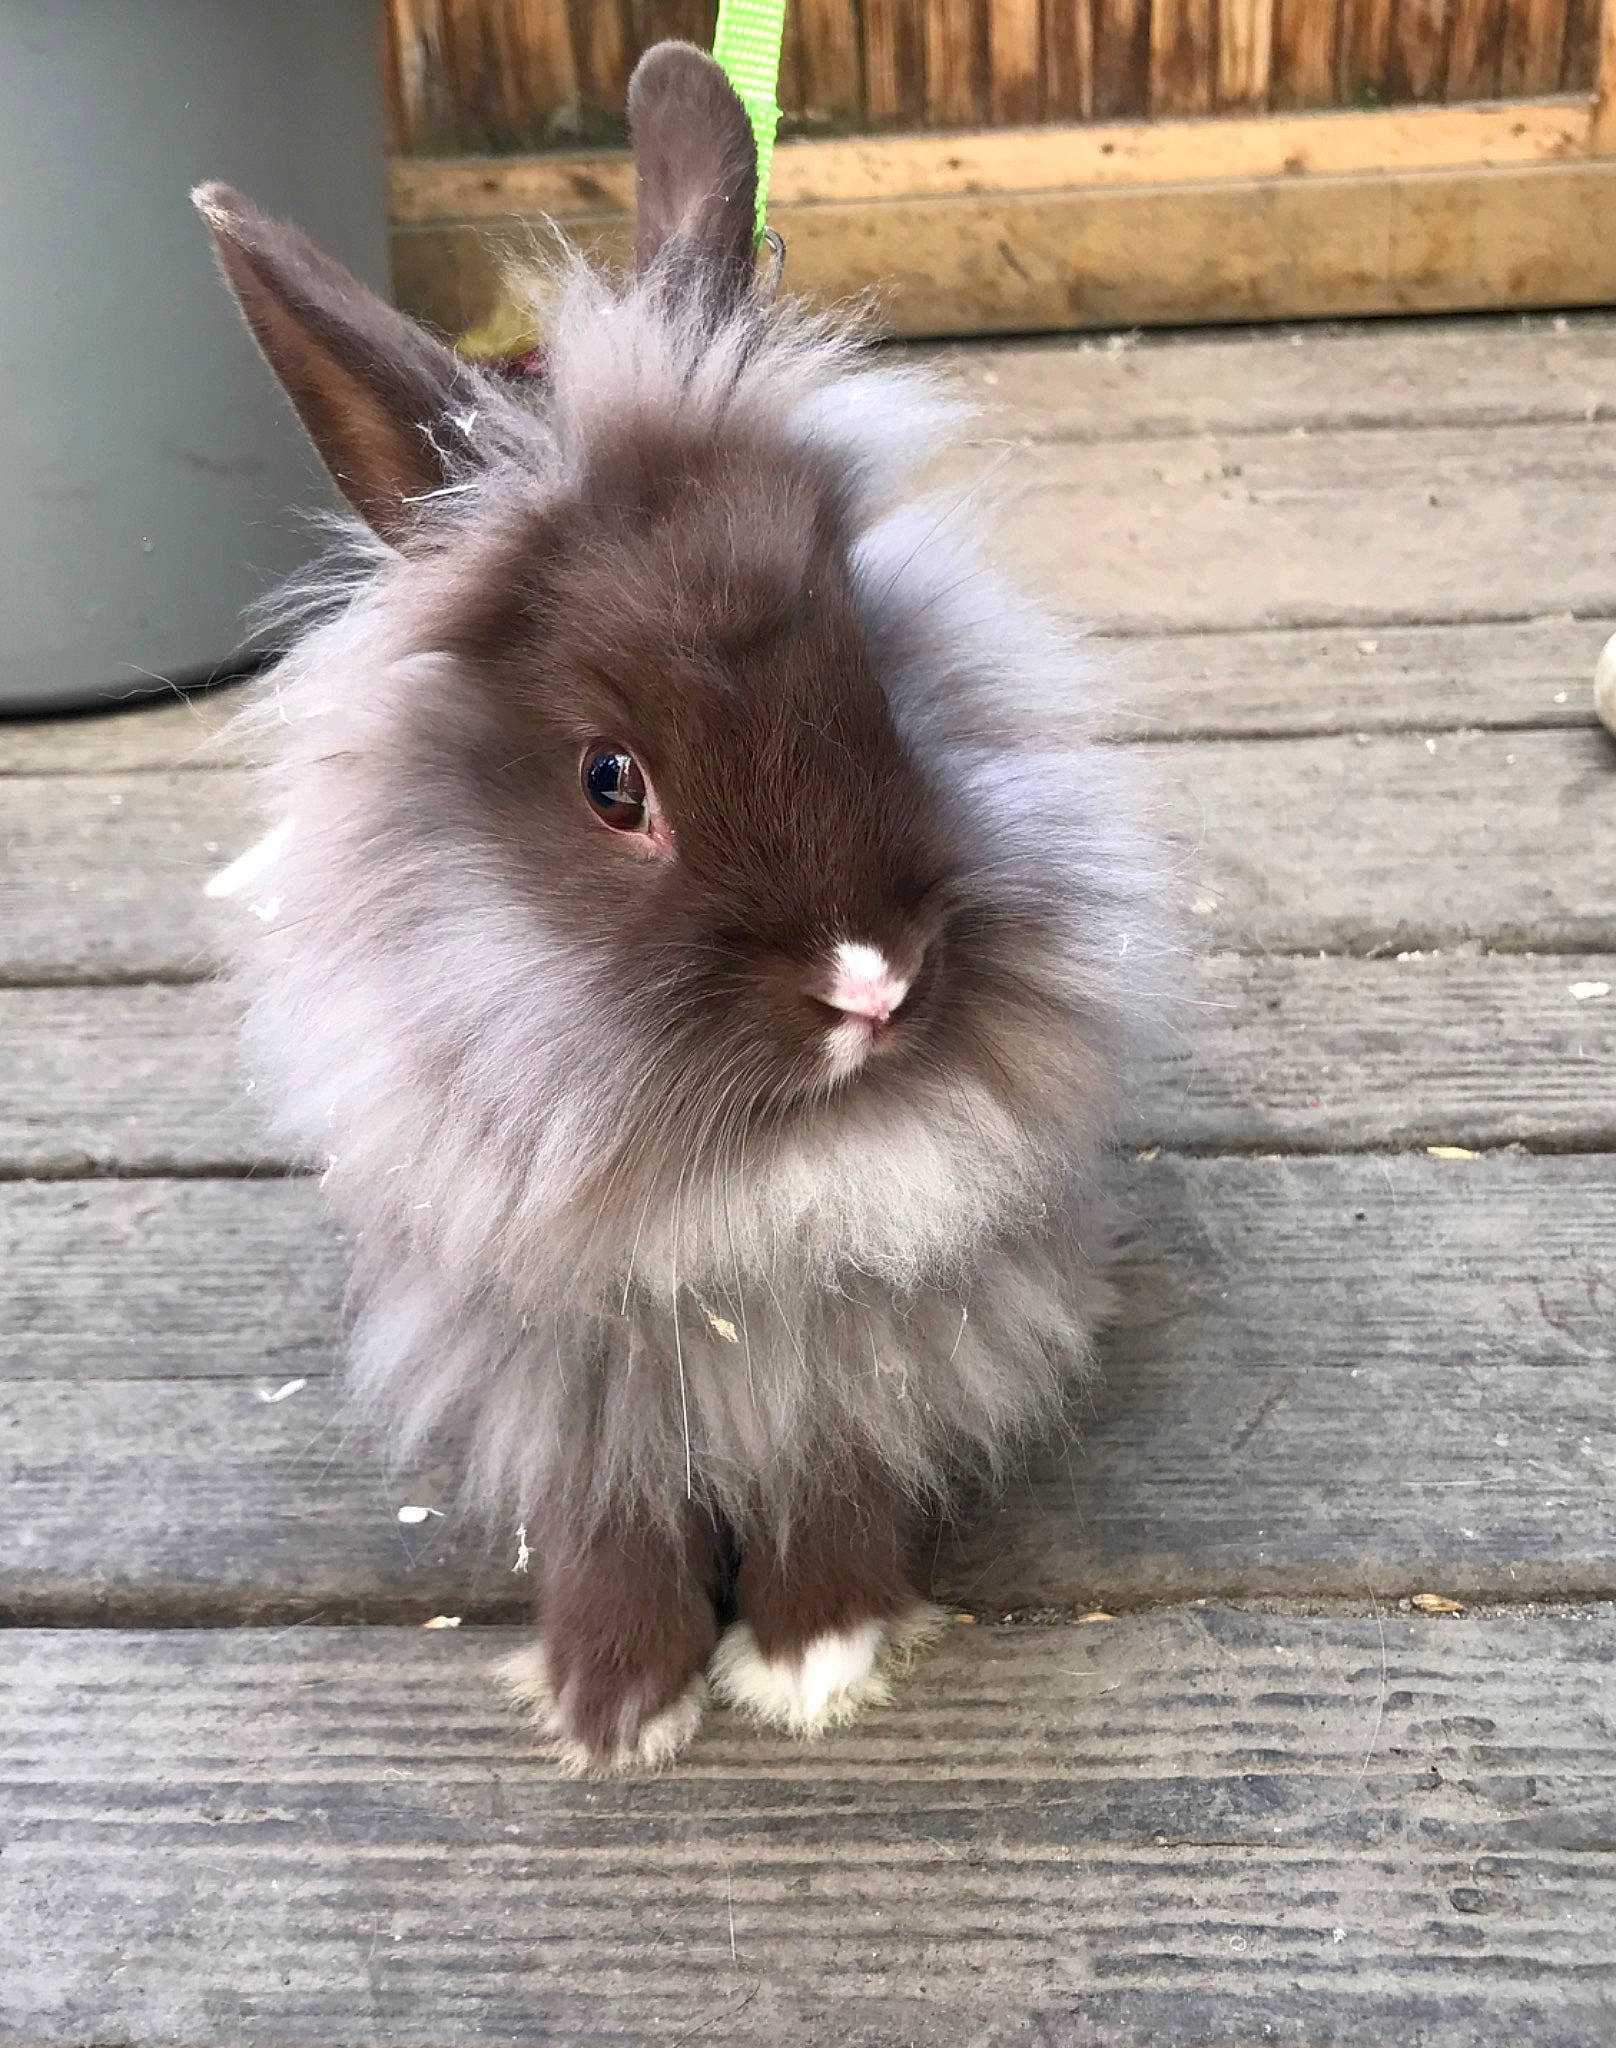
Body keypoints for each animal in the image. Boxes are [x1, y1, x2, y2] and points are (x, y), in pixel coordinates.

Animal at [195, 40, 1169, 1775]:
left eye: (873, 676)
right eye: (609, 783)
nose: (876, 982)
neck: (752, 1173)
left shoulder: (868, 1346)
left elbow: (833, 1488)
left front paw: (816, 1663)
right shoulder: (569, 1374)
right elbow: (610, 1523)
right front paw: (614, 1706)